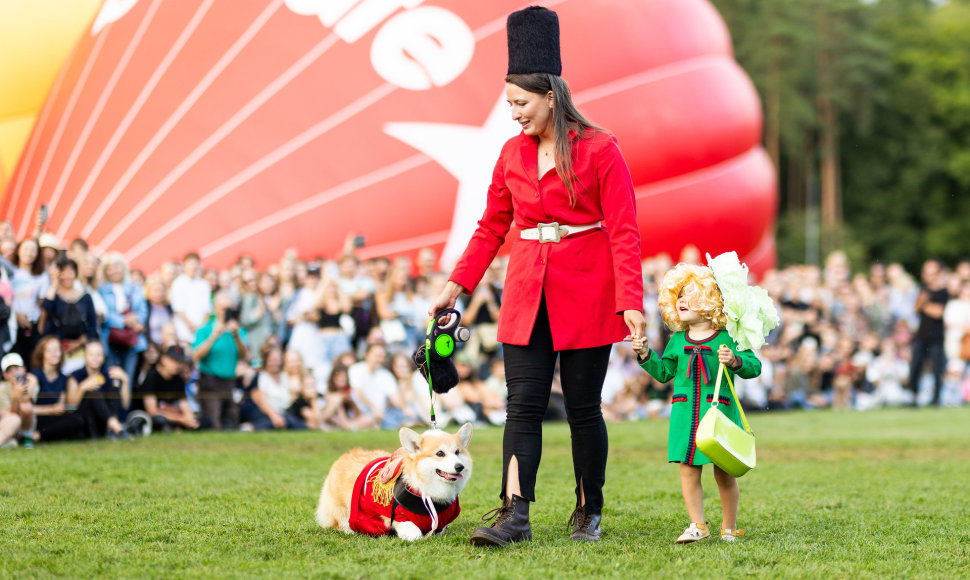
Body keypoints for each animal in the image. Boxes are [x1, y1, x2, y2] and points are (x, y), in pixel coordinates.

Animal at [316, 424, 470, 540]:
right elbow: (415, 534)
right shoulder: (401, 518)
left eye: (457, 452)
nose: (460, 467)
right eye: (440, 453)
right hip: (340, 507)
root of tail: (345, 456)